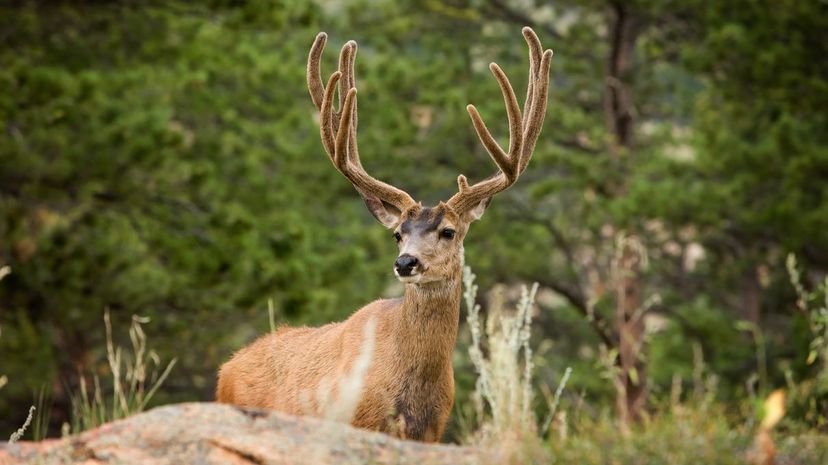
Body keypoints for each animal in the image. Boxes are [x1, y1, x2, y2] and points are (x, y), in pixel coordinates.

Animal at [216, 27, 552, 442]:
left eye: (448, 231)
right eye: (398, 234)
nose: (405, 262)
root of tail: (225, 369)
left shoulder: (433, 431)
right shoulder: (357, 422)